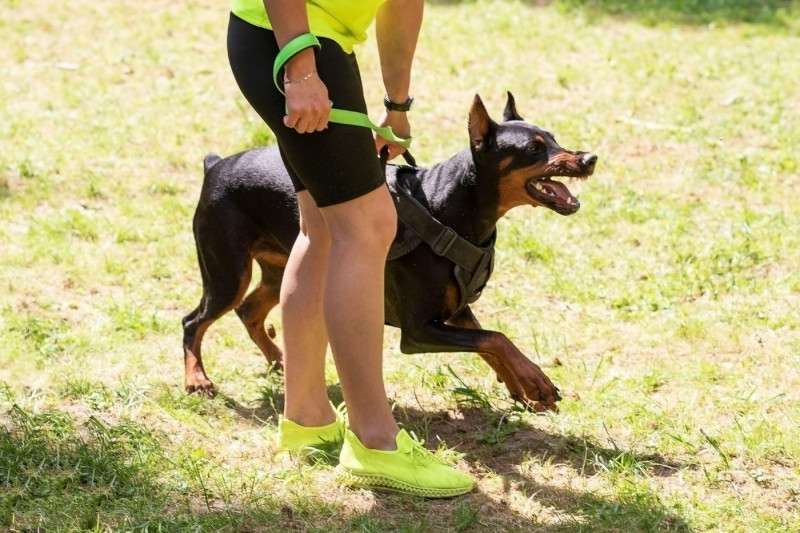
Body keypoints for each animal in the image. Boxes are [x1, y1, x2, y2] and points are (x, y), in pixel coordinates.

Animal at [181, 93, 592, 412]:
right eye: (533, 149)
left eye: (553, 138)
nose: (590, 159)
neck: (448, 207)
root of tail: (215, 165)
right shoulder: (417, 331)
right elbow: (495, 338)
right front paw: (534, 381)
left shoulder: (456, 310)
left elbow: (491, 342)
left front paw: (524, 389)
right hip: (228, 272)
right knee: (193, 321)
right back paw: (197, 380)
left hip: (281, 268)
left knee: (249, 310)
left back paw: (280, 359)